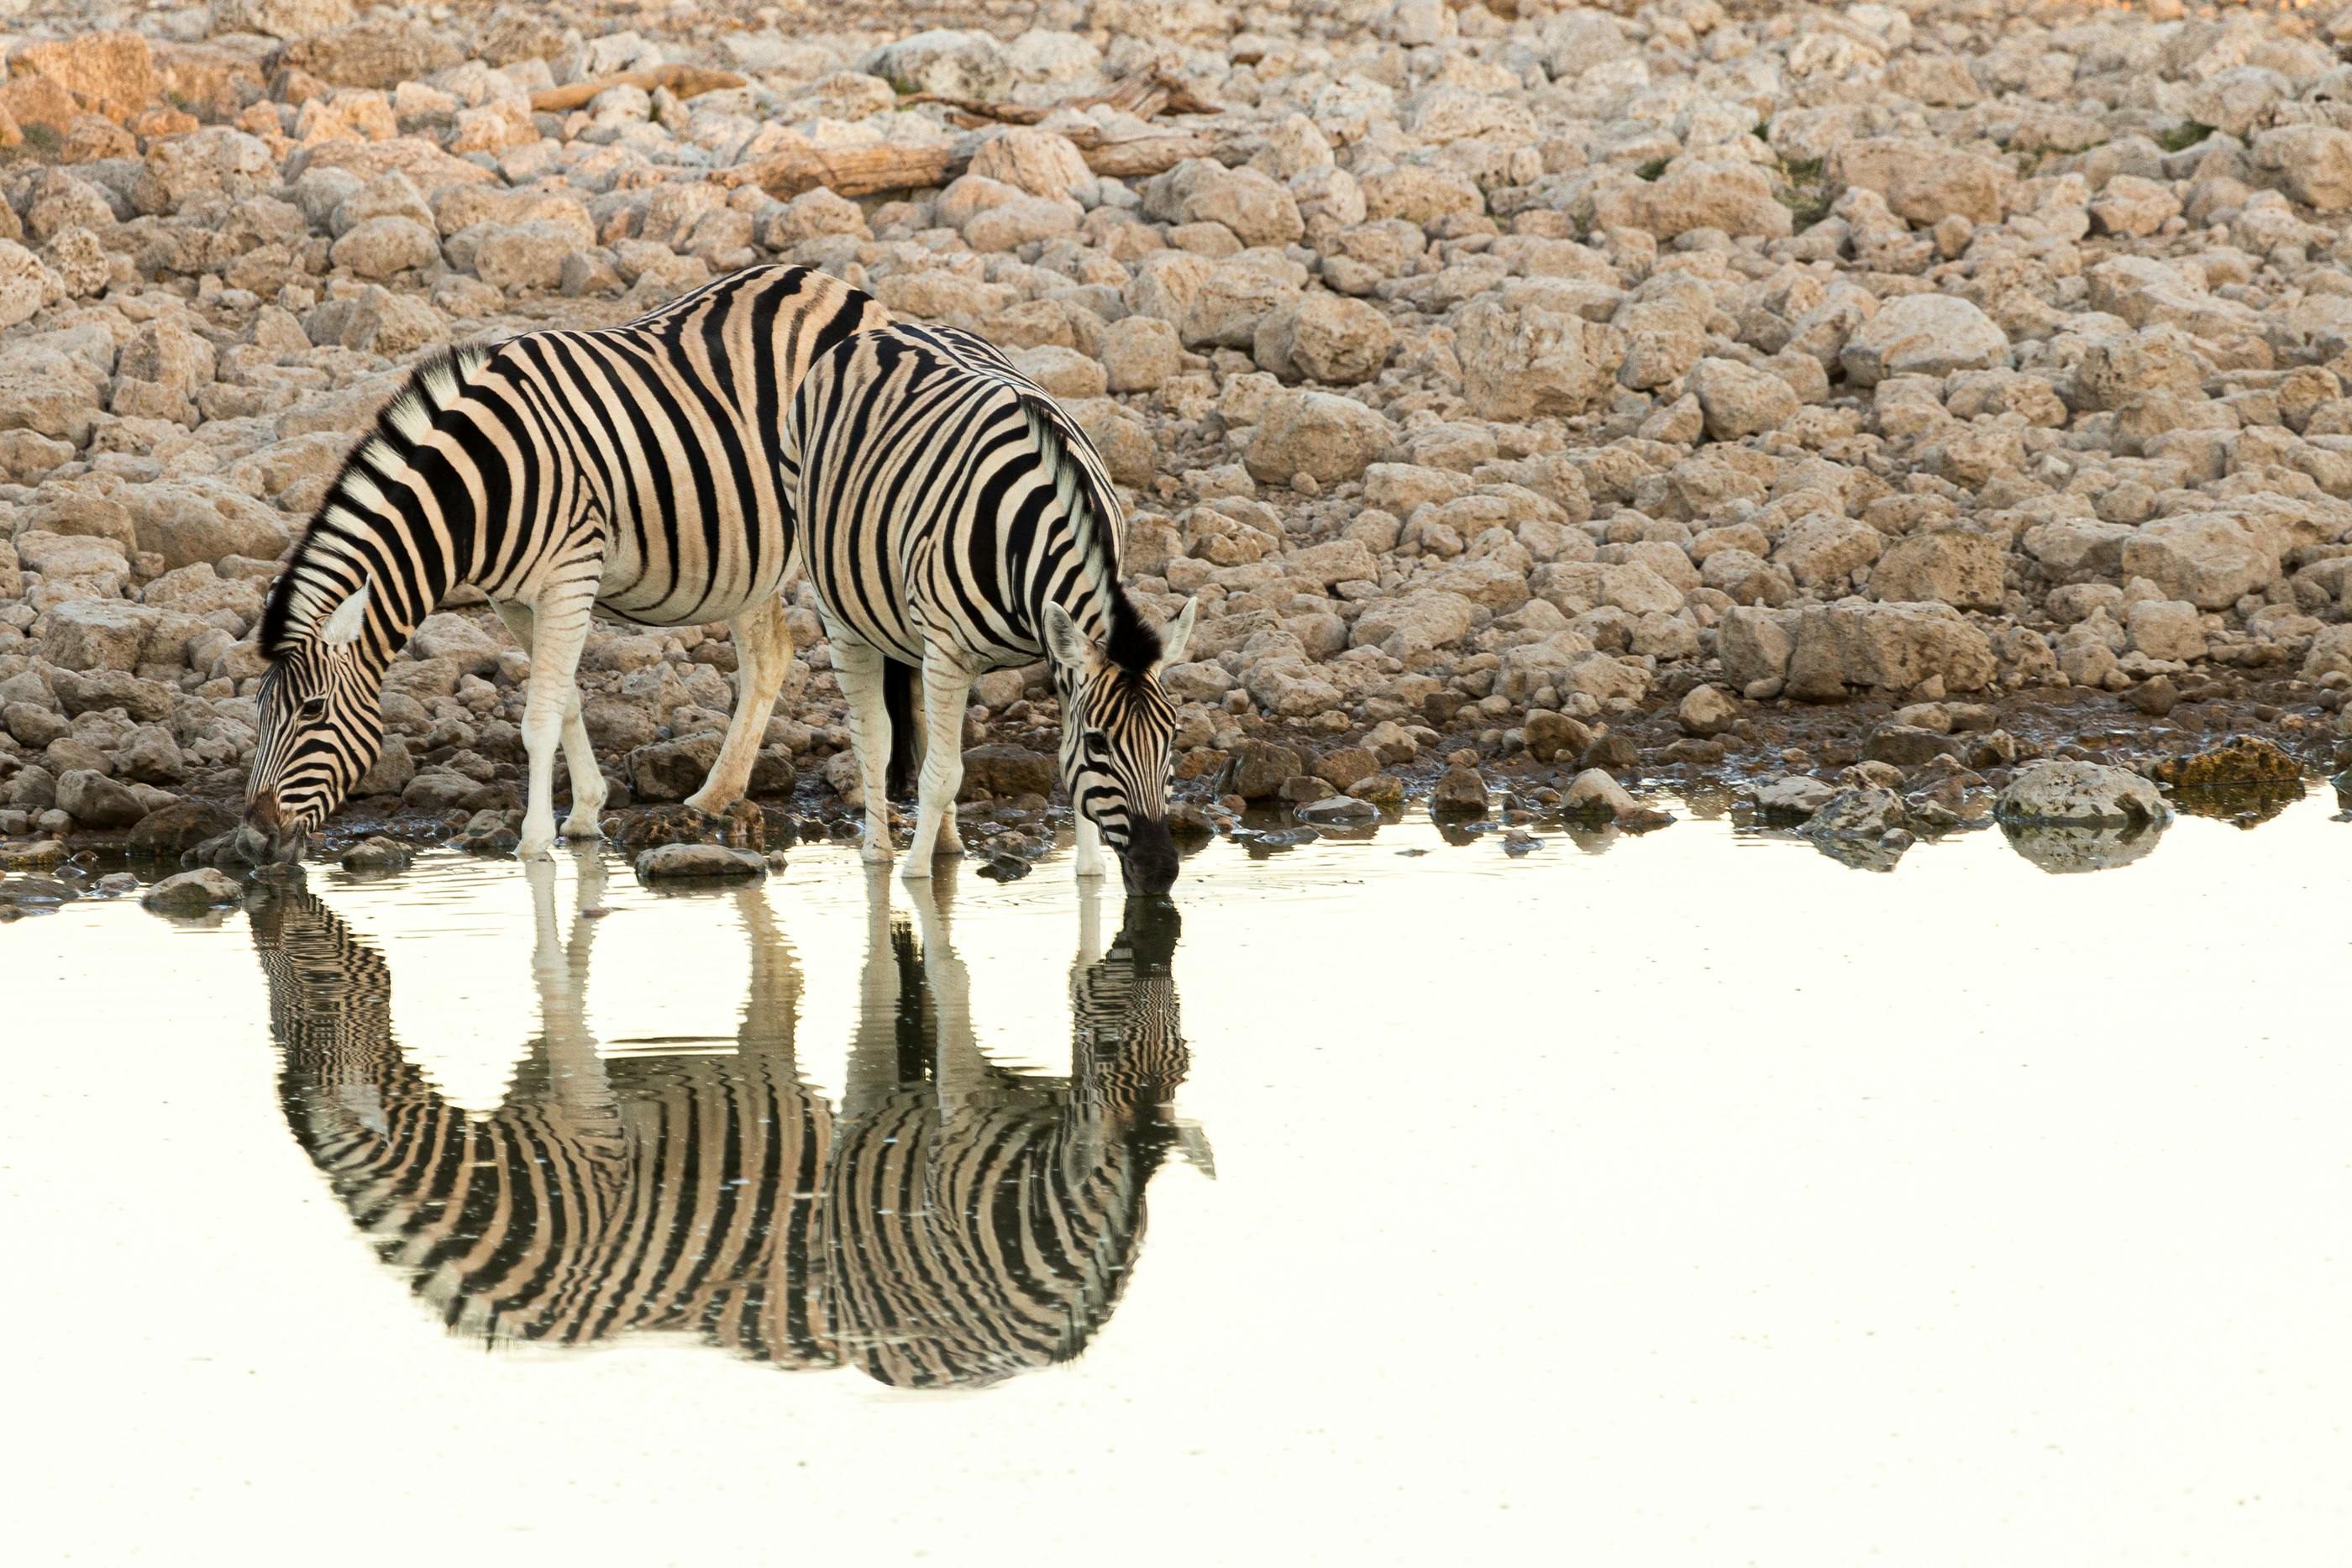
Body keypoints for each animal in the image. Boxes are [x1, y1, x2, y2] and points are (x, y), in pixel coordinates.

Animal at [236, 263, 889, 865]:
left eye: (313, 710)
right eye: (259, 710)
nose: (252, 841)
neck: (481, 490)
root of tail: (831, 283)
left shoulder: (571, 576)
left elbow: (539, 719)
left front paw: (534, 842)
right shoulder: (512, 598)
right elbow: (568, 699)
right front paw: (585, 814)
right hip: (750, 556)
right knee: (769, 656)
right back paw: (716, 796)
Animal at [785, 315, 1194, 893]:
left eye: (1173, 736)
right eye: (1099, 743)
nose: (1159, 872)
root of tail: (893, 327)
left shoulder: (1056, 657)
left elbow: (1055, 770)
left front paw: (1090, 875)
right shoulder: (949, 650)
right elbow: (940, 774)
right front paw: (915, 879)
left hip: (915, 637)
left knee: (921, 731)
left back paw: (948, 844)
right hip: (838, 604)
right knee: (874, 735)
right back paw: (880, 854)